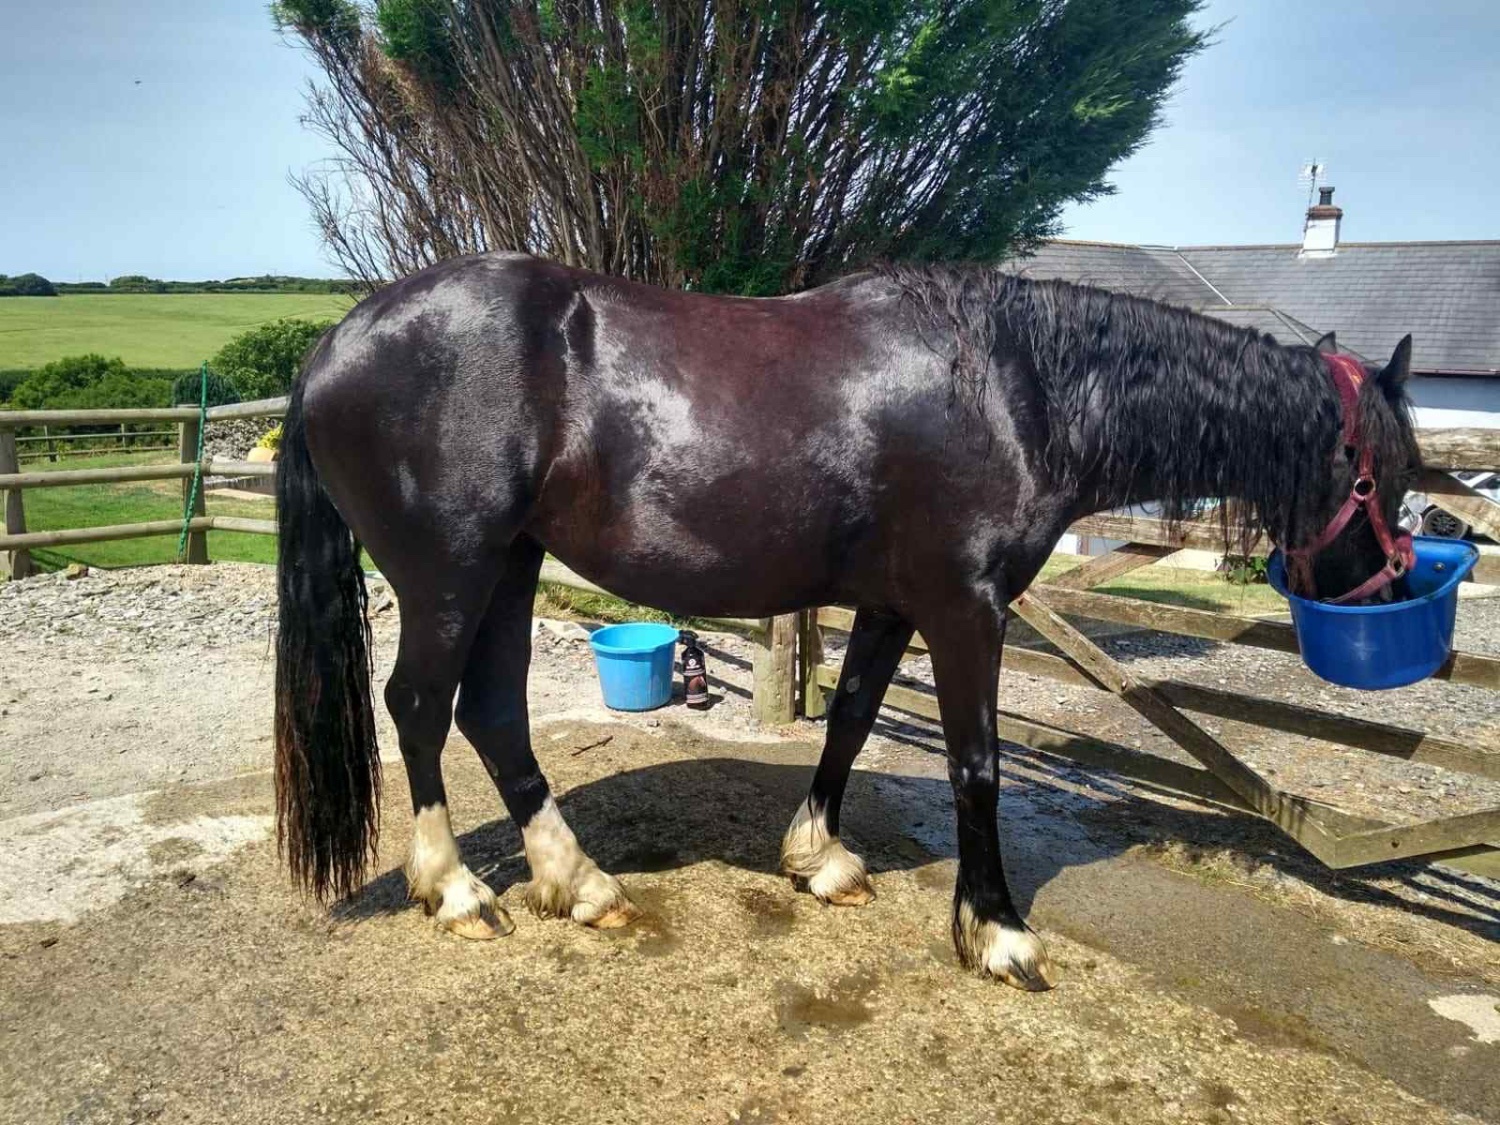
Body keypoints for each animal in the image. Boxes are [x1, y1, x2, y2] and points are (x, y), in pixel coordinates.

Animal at [273, 254, 1420, 990]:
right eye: (1389, 473)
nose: (1384, 598)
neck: (1012, 386)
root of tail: (334, 344)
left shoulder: (890, 603)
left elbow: (854, 721)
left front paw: (818, 859)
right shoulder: (966, 608)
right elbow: (975, 764)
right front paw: (999, 932)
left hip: (511, 566)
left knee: (494, 714)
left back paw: (579, 882)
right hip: (452, 571)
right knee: (420, 705)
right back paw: (457, 890)